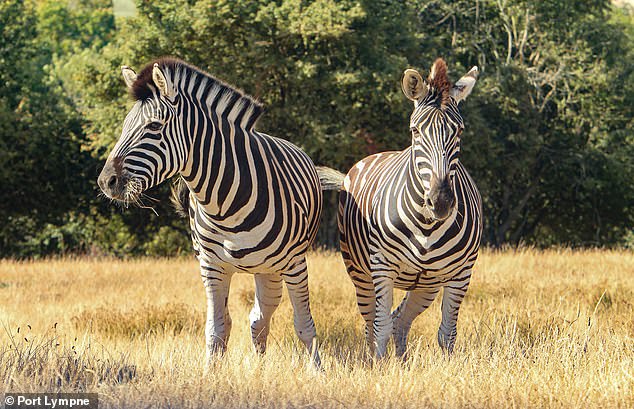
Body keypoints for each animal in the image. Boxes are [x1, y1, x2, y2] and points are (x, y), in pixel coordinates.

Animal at [100, 56, 326, 364]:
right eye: (124, 126)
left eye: (155, 127)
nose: (105, 181)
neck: (225, 205)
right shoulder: (211, 267)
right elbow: (217, 330)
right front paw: (211, 372)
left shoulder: (295, 264)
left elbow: (304, 326)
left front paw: (318, 370)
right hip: (262, 270)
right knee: (258, 318)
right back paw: (258, 366)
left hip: (273, 267)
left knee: (262, 316)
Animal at [318, 57, 482, 356]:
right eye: (415, 131)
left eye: (460, 131)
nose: (441, 201)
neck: (426, 225)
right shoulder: (382, 268)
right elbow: (380, 329)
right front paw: (381, 368)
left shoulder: (461, 273)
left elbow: (447, 334)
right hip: (361, 274)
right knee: (373, 323)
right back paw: (374, 359)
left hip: (426, 285)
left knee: (400, 319)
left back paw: (403, 360)